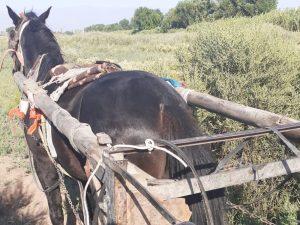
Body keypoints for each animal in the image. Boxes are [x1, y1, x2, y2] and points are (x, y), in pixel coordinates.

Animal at [7, 6, 225, 225]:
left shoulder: (42, 161)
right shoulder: (84, 176)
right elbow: (87, 204)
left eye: (10, 35)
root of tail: (165, 100)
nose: (13, 69)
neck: (44, 78)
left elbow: (55, 210)